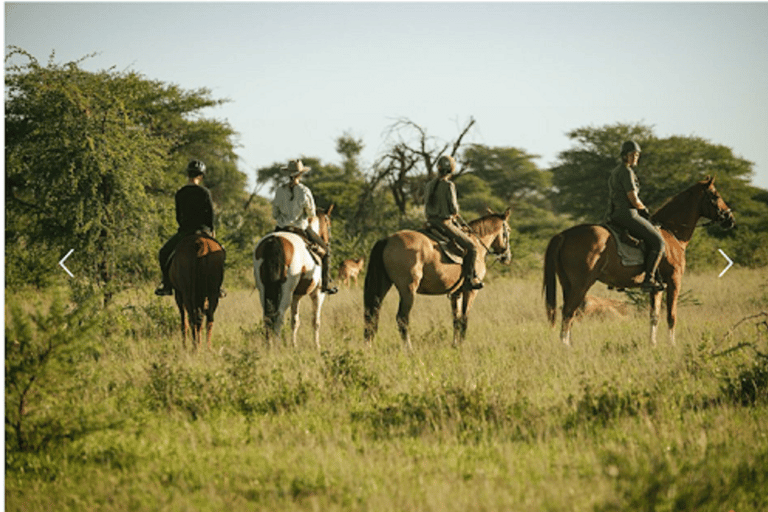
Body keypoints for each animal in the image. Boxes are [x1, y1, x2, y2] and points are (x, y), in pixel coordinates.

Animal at [253, 205, 333, 349]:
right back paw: (277, 346)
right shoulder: (318, 294)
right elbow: (315, 321)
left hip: (263, 290)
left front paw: (294, 344)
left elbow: (295, 321)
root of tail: (273, 241)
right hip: (286, 291)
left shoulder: (296, 296)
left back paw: (269, 346)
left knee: (267, 316)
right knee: (279, 316)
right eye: (328, 224)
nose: (327, 241)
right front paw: (317, 345)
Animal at [364, 208, 511, 349]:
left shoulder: (456, 293)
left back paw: (369, 347)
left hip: (383, 286)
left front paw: (455, 345)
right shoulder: (470, 291)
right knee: (402, 319)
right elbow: (464, 319)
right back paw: (409, 349)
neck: (478, 244)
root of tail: (387, 240)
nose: (507, 257)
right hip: (408, 290)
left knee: (372, 315)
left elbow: (456, 319)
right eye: (508, 231)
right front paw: (462, 345)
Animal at [543, 176, 735, 346]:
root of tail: (564, 234)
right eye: (715, 195)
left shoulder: (657, 287)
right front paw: (671, 345)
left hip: (568, 285)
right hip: (581, 285)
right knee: (568, 313)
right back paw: (566, 346)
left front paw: (653, 344)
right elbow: (671, 316)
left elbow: (654, 316)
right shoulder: (674, 280)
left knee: (568, 314)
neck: (671, 233)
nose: (730, 218)